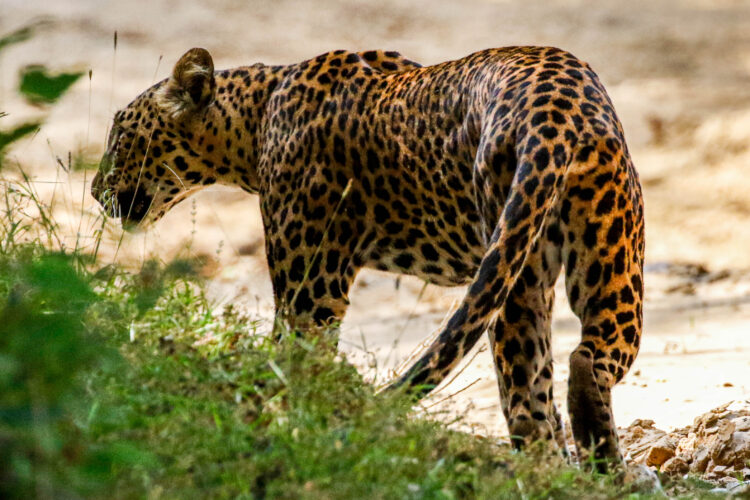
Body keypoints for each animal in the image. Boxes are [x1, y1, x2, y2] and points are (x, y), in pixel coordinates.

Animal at [92, 46, 645, 470]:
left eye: (120, 137)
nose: (96, 192)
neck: (257, 113)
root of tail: (554, 113)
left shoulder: (311, 291)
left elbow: (294, 363)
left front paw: (294, 436)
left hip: (527, 262)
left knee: (533, 397)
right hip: (602, 252)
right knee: (580, 363)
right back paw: (596, 470)